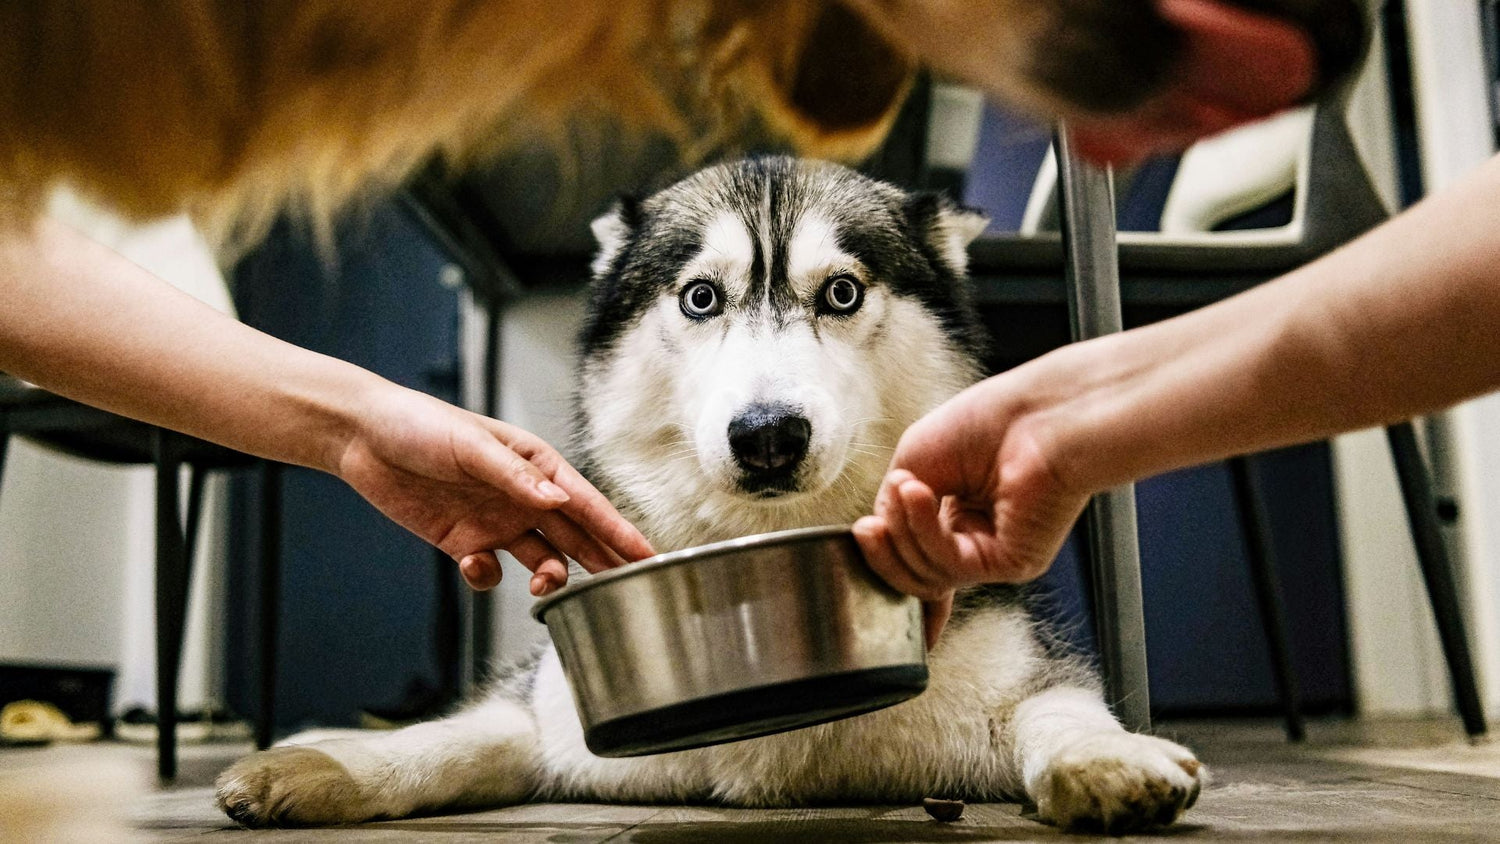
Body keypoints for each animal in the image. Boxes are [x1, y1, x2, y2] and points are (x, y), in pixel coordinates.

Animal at [217, 160, 1206, 839]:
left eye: (841, 291)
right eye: (700, 297)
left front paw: (1108, 757)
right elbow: (455, 739)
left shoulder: (1020, 677)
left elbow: (1060, 706)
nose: (767, 433)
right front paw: (329, 767)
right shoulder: (548, 715)